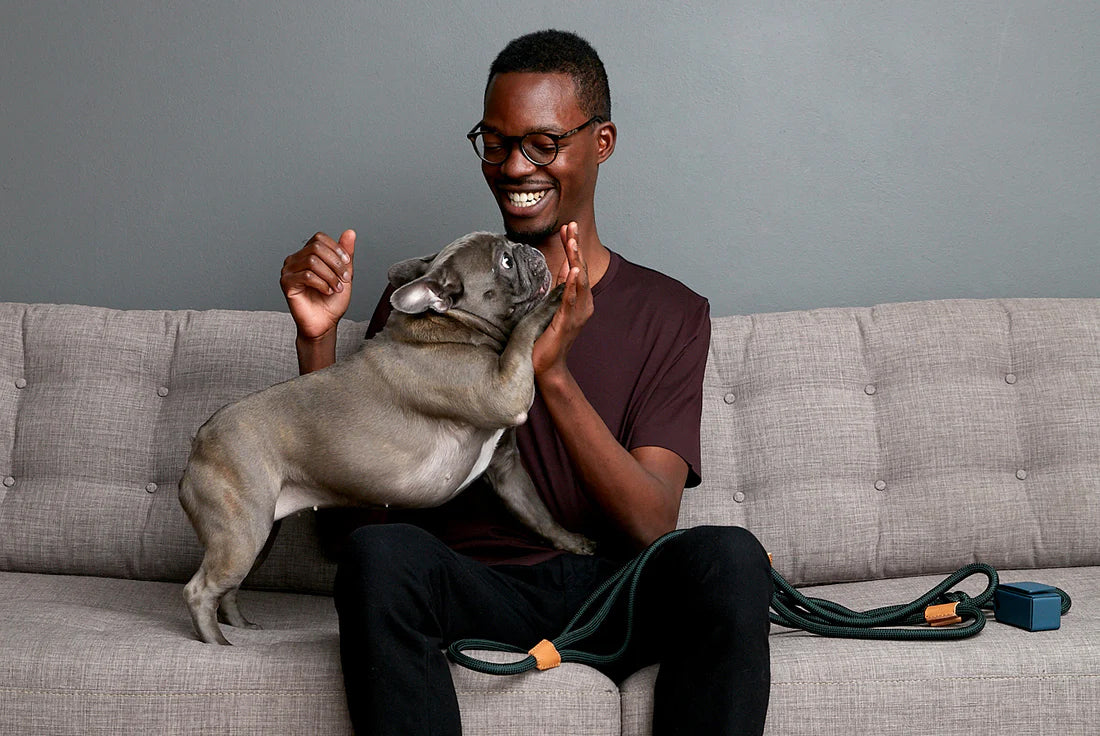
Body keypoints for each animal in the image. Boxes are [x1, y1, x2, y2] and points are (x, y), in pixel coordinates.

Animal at [178, 231, 594, 642]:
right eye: (504, 262)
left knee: (229, 590)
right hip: (241, 535)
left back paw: (240, 628)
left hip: (259, 535)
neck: (453, 327)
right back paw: (216, 644)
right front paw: (556, 300)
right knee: (200, 590)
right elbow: (524, 330)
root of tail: (196, 448)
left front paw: (573, 541)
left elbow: (539, 514)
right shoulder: (506, 392)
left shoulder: (507, 469)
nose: (527, 248)